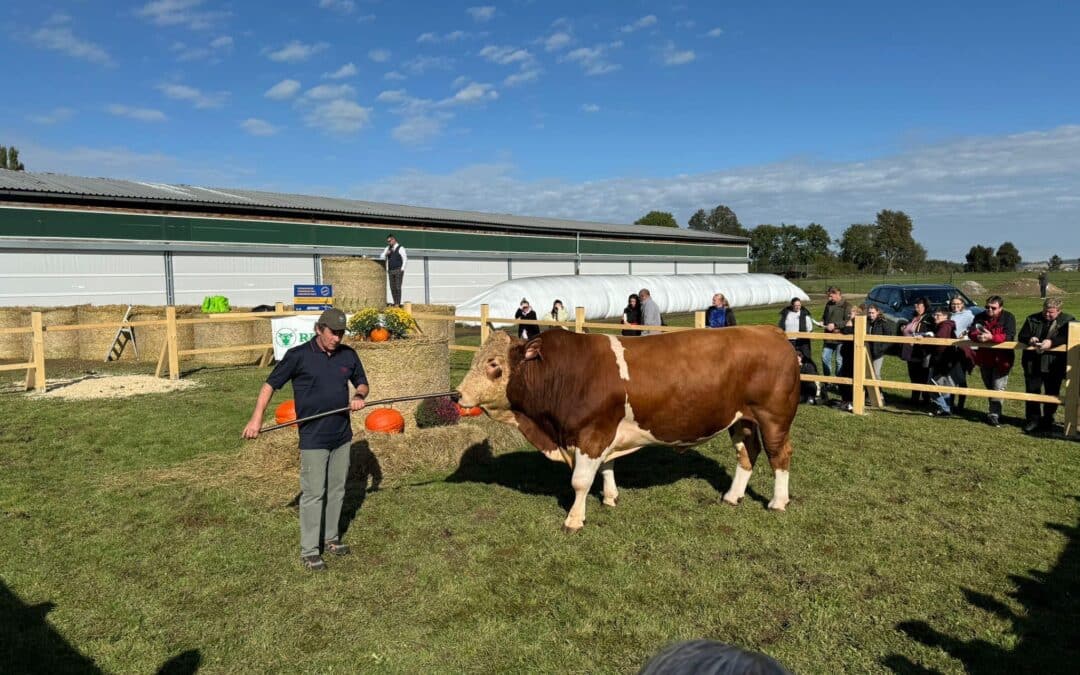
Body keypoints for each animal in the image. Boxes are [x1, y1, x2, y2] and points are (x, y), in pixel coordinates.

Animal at [455, 326, 803, 531]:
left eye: (494, 364)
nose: (457, 395)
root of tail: (771, 332)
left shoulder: (590, 434)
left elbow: (580, 481)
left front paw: (574, 519)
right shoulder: (604, 433)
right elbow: (606, 468)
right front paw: (610, 497)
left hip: (773, 417)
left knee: (779, 455)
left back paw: (778, 502)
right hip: (741, 420)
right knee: (747, 453)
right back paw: (732, 496)